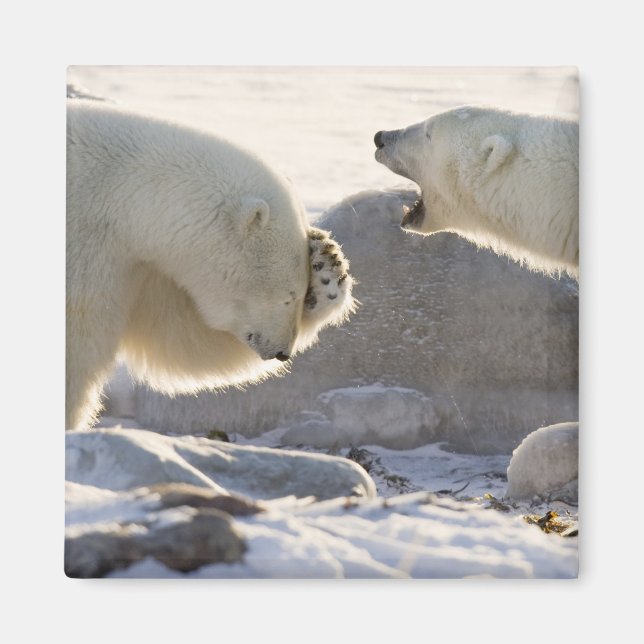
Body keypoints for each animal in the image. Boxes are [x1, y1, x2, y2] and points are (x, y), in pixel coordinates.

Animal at [66, 100, 355, 430]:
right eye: (288, 296)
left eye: (302, 293)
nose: (283, 352)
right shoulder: (88, 250)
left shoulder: (135, 264)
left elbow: (180, 335)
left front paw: (328, 268)